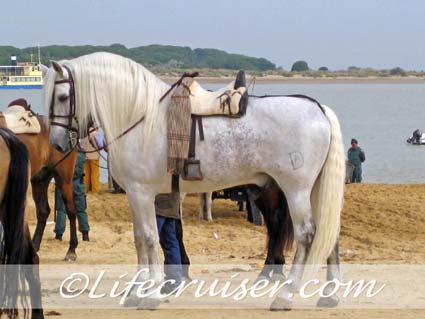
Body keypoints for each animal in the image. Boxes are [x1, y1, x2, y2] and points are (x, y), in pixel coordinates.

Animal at [0, 99, 78, 260]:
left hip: (63, 177)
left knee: (71, 210)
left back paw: (71, 250)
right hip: (40, 179)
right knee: (43, 211)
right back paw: (34, 246)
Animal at [42, 52, 344, 310]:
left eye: (63, 95)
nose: (56, 143)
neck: (140, 115)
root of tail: (319, 109)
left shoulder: (141, 193)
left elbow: (149, 238)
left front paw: (150, 295)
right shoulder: (135, 196)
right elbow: (139, 239)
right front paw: (138, 292)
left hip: (296, 191)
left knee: (307, 235)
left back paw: (286, 295)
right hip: (314, 191)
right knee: (329, 234)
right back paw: (330, 296)